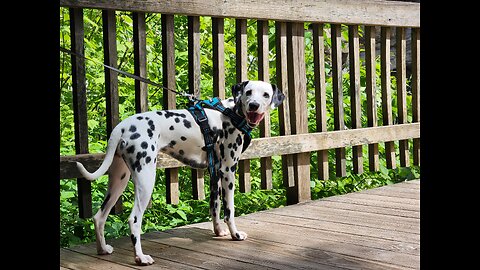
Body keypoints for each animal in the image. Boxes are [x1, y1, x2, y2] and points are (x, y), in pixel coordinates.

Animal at [75, 79, 284, 264]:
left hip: (119, 180)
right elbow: (229, 210)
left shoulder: (214, 173)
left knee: (99, 217)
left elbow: (215, 207)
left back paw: (103, 249)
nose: (254, 105)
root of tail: (122, 127)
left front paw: (219, 231)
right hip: (145, 179)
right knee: (134, 219)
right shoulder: (227, 170)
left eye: (265, 94)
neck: (231, 112)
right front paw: (235, 234)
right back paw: (140, 257)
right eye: (248, 92)